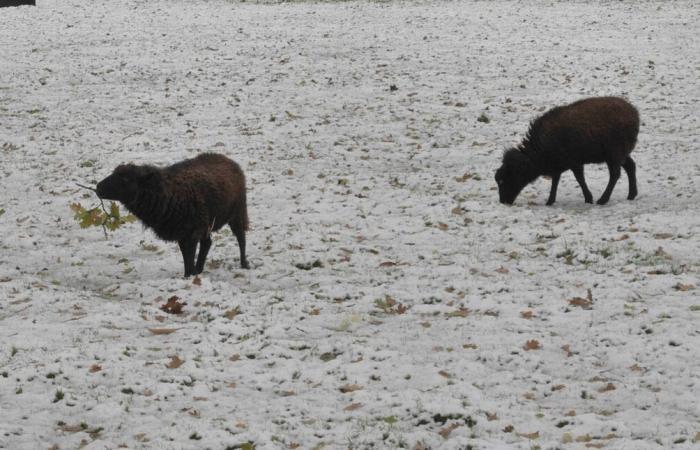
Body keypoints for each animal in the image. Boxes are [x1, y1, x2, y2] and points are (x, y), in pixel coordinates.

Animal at [95, 153, 249, 276]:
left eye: (126, 179)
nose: (98, 187)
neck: (165, 192)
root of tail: (228, 160)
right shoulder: (181, 233)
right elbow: (186, 258)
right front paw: (190, 275)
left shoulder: (191, 233)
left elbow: (189, 257)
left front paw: (189, 276)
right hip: (206, 223)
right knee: (207, 243)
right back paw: (199, 269)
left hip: (237, 211)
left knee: (241, 237)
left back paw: (244, 264)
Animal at [492, 97, 640, 207]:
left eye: (503, 180)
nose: (503, 201)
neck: (539, 150)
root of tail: (634, 113)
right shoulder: (558, 164)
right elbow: (556, 180)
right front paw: (550, 201)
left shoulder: (574, 162)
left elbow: (579, 179)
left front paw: (588, 198)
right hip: (621, 153)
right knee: (631, 166)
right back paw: (631, 195)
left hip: (614, 153)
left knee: (615, 174)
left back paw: (603, 200)